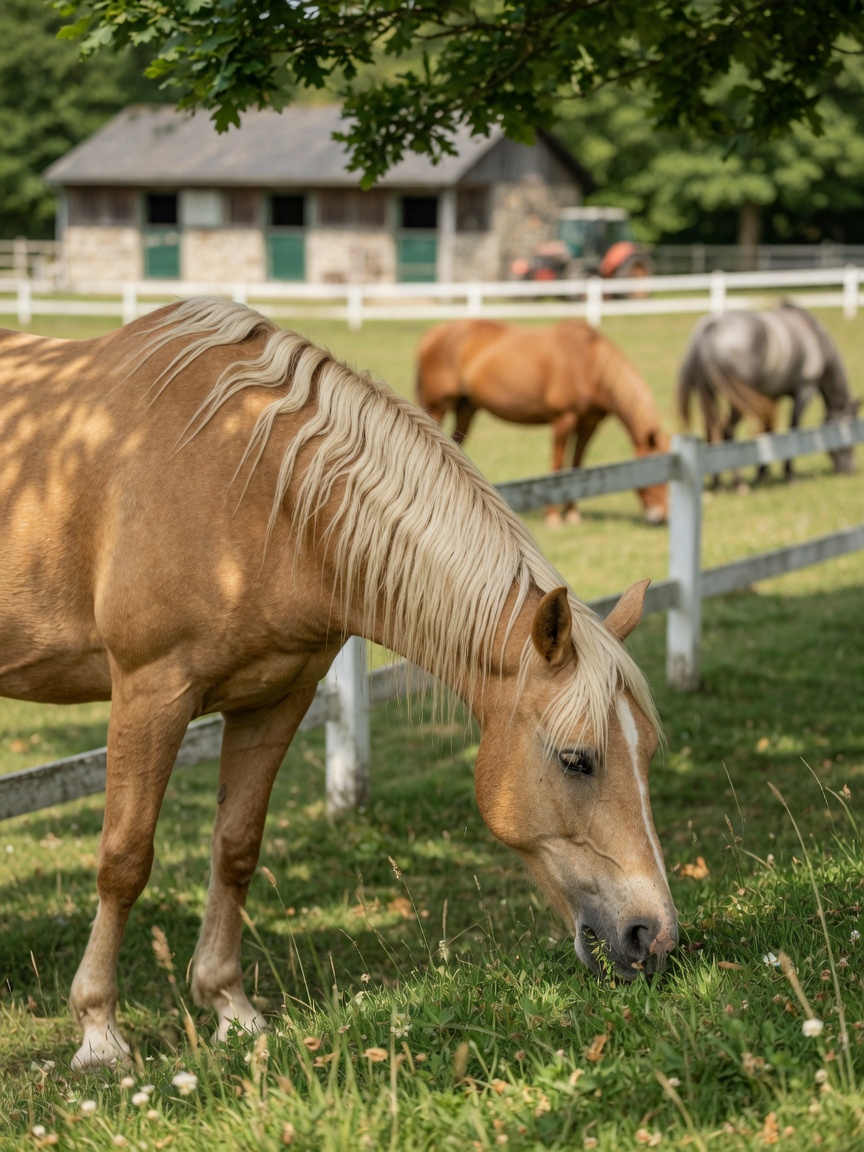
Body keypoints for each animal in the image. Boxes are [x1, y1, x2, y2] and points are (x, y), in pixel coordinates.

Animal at [416, 318, 671, 526]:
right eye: (654, 470)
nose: (661, 517)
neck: (587, 365)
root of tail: (431, 334)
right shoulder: (563, 420)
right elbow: (557, 466)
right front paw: (552, 516)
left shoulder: (589, 423)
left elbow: (577, 465)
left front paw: (572, 513)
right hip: (438, 409)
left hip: (466, 409)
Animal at [678, 302, 859, 485]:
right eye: (849, 431)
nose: (850, 469)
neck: (815, 339)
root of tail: (711, 328)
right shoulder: (804, 390)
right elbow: (793, 428)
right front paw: (789, 474)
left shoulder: (770, 397)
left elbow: (768, 432)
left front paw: (762, 473)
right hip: (738, 400)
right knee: (727, 431)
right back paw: (738, 481)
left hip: (708, 394)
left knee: (711, 430)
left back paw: (717, 483)